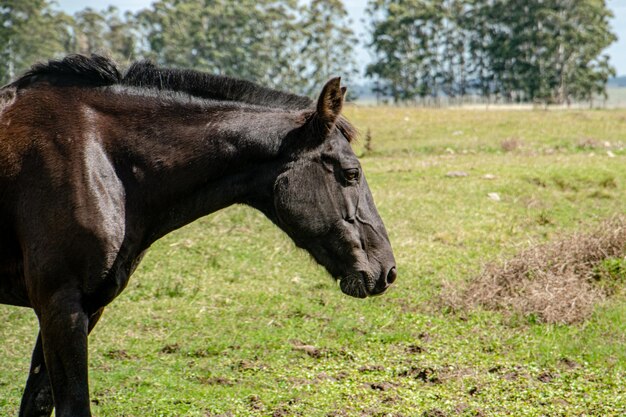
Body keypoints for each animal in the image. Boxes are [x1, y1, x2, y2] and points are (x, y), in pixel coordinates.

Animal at [0, 55, 394, 416]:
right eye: (351, 173)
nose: (387, 270)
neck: (97, 156)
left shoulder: (85, 308)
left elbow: (36, 402)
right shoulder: (61, 305)